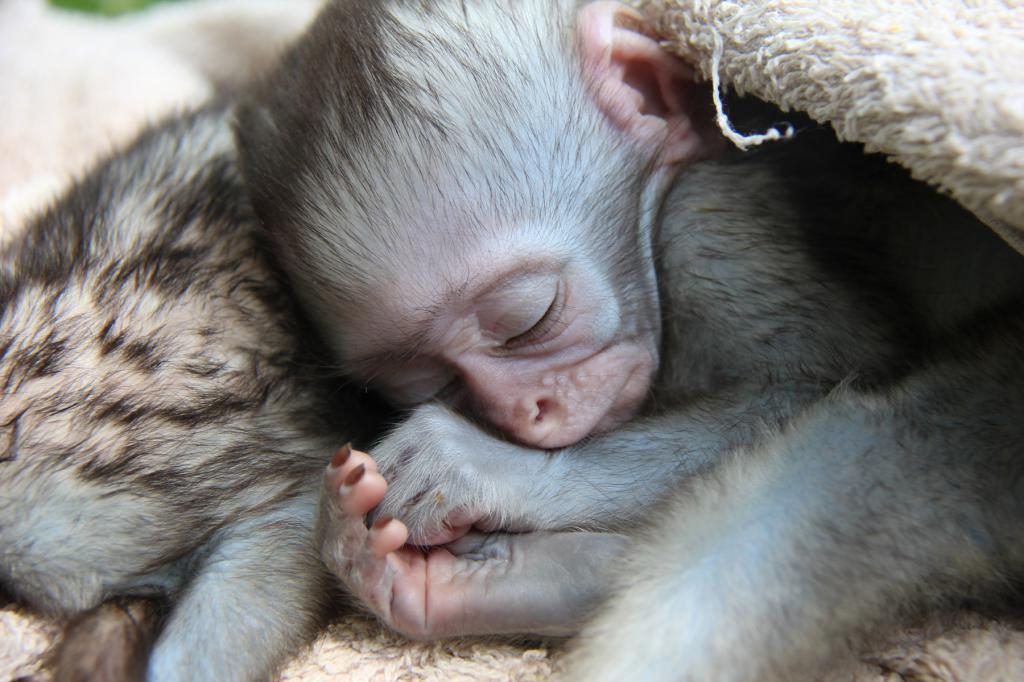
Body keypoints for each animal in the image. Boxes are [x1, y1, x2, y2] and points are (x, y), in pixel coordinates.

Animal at [237, 1, 1024, 679]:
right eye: (429, 379)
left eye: (530, 317)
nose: (527, 414)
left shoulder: (705, 228)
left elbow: (816, 383)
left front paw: (481, 467)